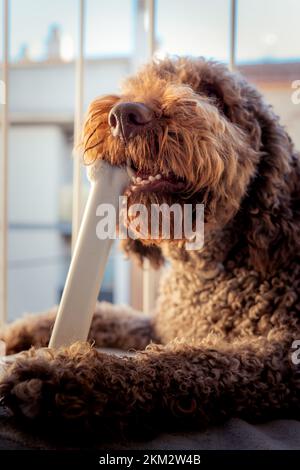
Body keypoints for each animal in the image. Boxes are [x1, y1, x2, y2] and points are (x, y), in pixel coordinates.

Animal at [0, 57, 300, 436]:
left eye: (213, 94)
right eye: (135, 85)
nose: (124, 115)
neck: (205, 270)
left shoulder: (281, 356)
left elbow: (188, 362)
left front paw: (70, 376)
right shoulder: (160, 325)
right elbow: (114, 316)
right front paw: (22, 329)